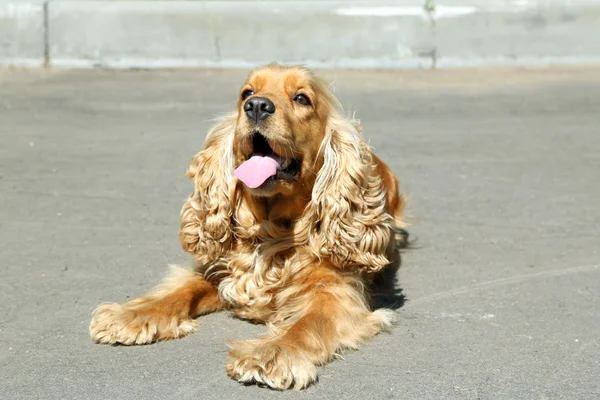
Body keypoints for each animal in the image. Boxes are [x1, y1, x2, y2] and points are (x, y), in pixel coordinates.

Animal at [89, 64, 408, 390]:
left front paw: (272, 354)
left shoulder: (337, 293)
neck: (271, 230)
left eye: (302, 98)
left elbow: (306, 324)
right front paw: (129, 315)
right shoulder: (214, 269)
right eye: (247, 93)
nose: (256, 106)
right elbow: (177, 293)